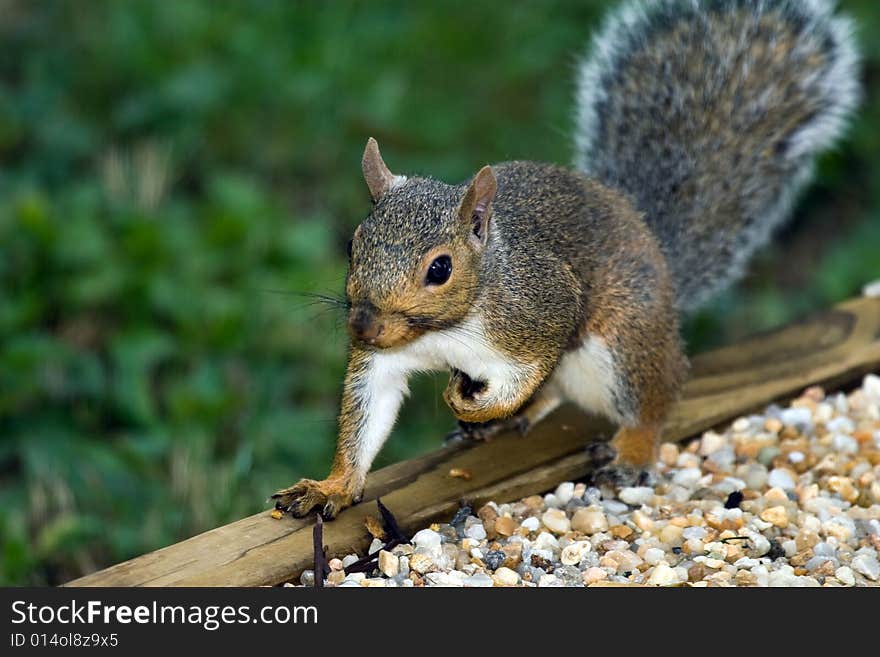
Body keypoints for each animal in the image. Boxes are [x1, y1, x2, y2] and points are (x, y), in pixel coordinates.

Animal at [274, 0, 860, 516]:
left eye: (439, 268)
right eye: (353, 244)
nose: (362, 327)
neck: (444, 329)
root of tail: (658, 256)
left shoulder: (542, 311)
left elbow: (522, 376)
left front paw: (474, 402)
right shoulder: (388, 356)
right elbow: (369, 411)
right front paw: (332, 487)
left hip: (624, 339)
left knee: (654, 398)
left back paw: (629, 448)